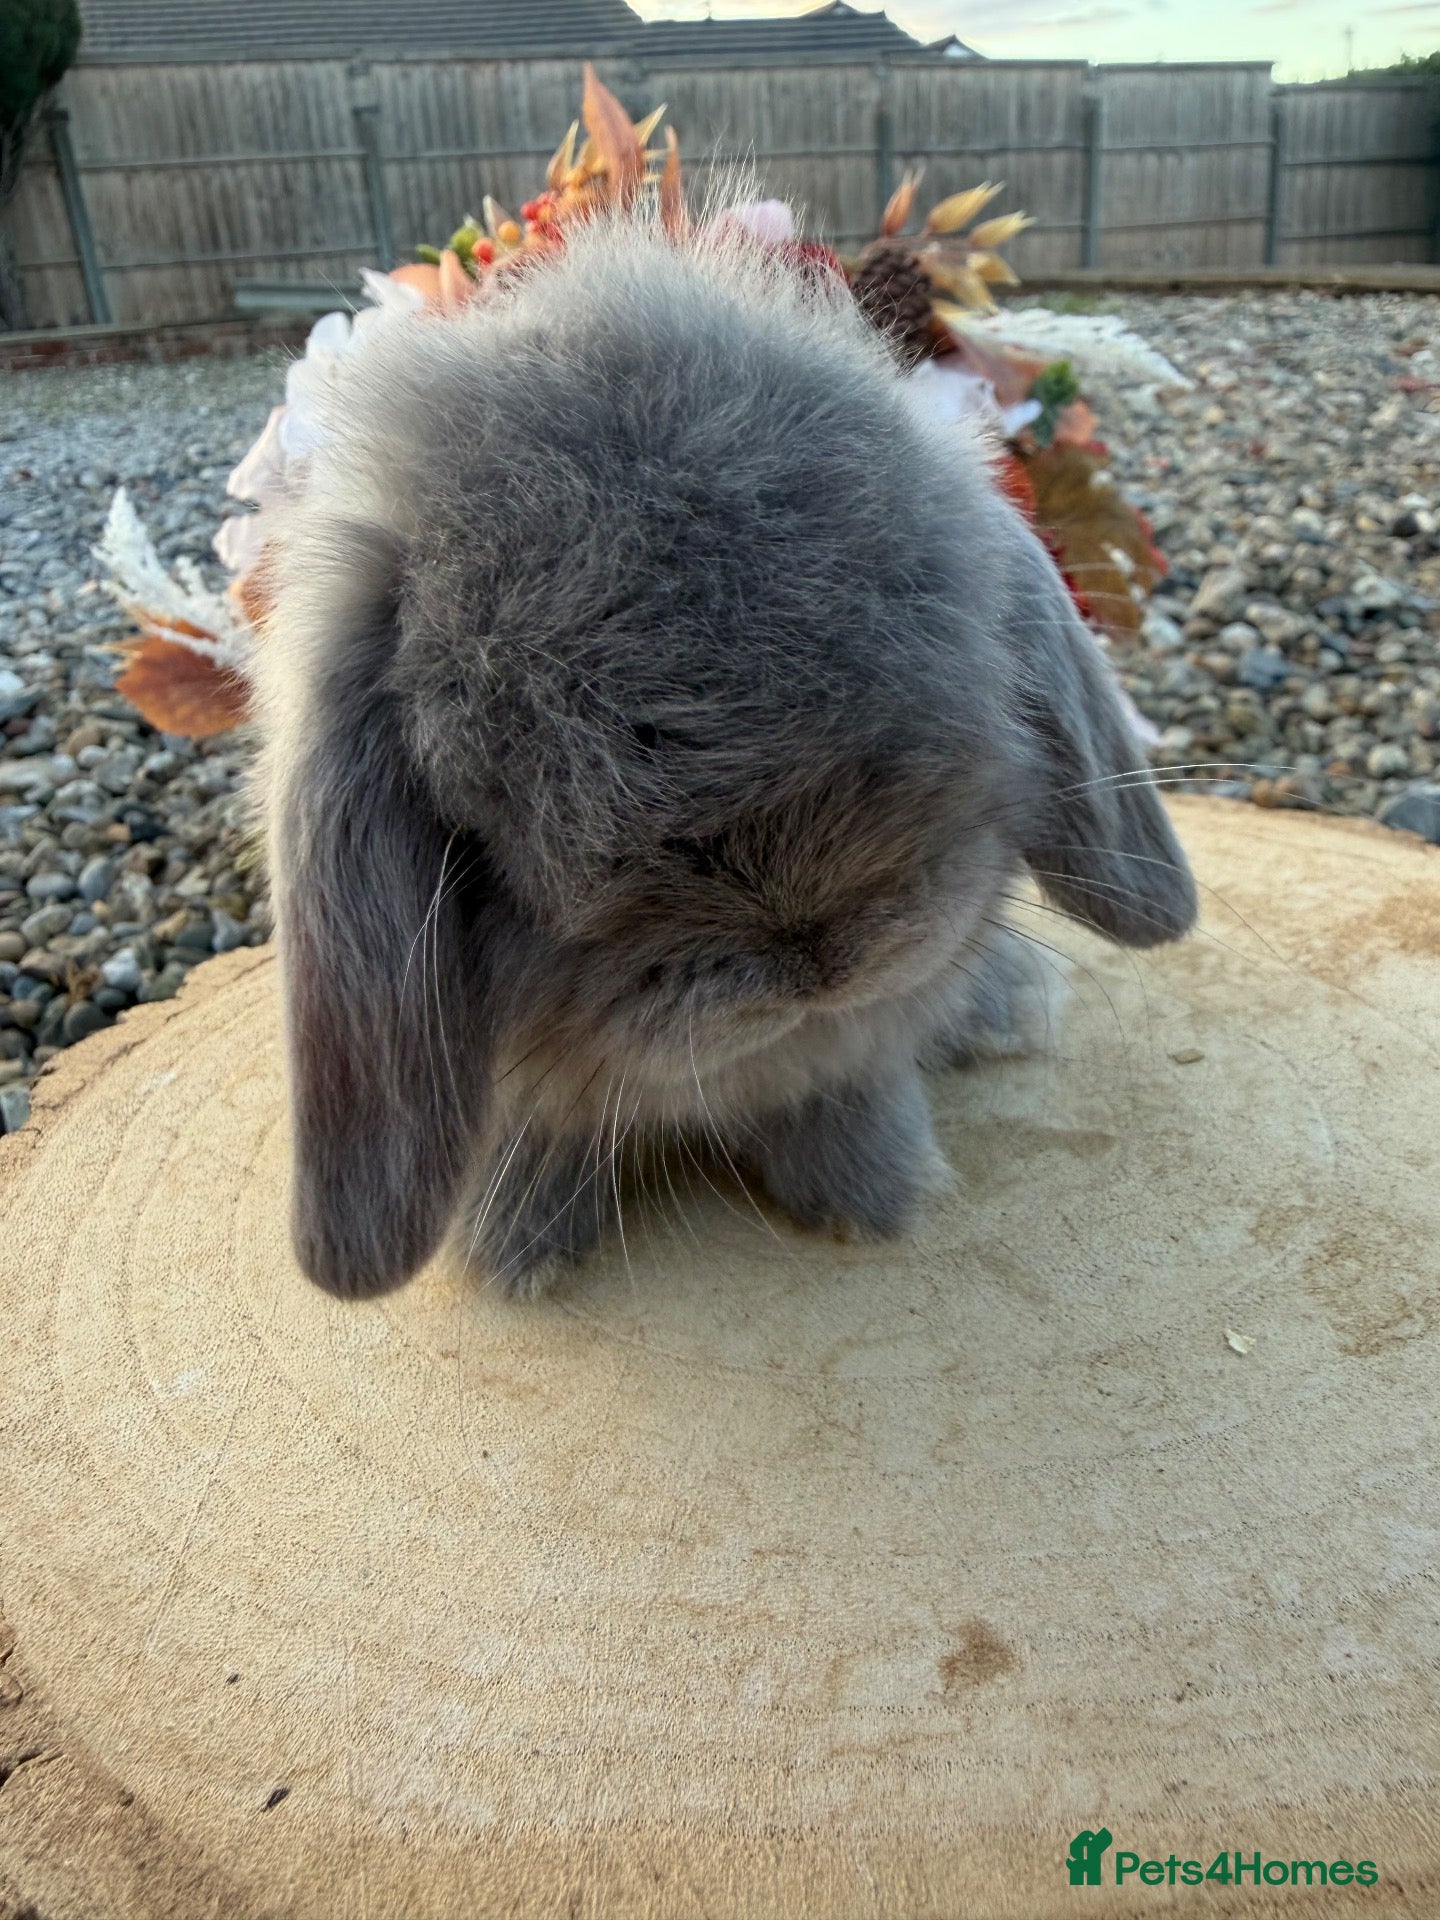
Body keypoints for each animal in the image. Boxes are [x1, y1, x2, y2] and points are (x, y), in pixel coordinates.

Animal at [250, 208, 1197, 1301]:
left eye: (980, 657)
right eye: (486, 822)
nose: (824, 957)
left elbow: (845, 1097)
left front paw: (875, 1195)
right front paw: (515, 1252)